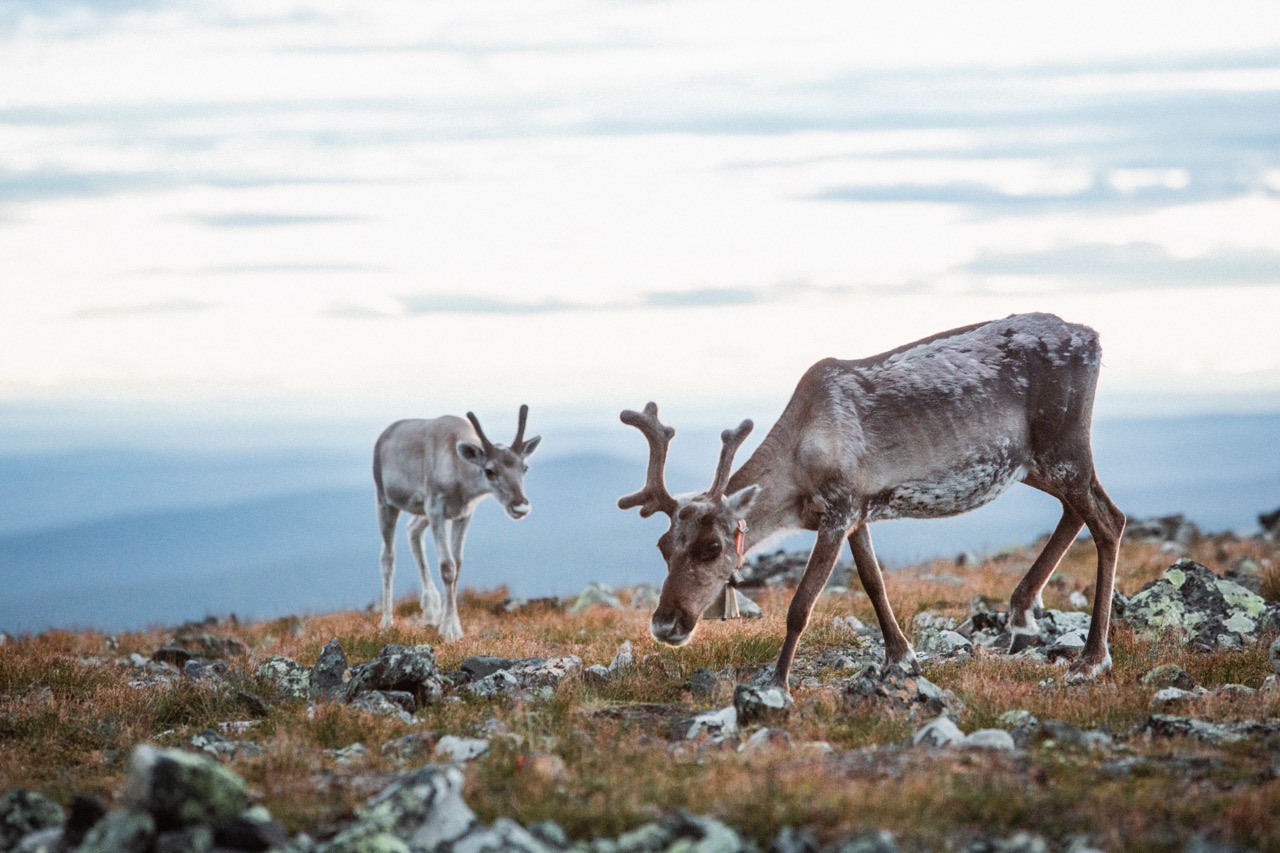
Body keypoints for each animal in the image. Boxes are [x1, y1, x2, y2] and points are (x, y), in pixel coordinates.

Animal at [374, 405, 541, 641]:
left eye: (524, 467)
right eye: (489, 471)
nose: (520, 506)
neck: (460, 480)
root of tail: (384, 435)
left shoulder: (463, 514)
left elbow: (458, 565)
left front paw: (451, 625)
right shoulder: (435, 510)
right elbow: (447, 566)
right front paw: (449, 632)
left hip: (420, 510)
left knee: (413, 530)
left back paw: (431, 609)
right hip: (385, 500)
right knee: (387, 557)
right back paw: (387, 623)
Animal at [618, 313, 1125, 694]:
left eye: (712, 548)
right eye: (663, 547)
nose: (665, 624)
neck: (799, 458)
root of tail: (1094, 338)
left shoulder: (838, 509)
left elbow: (801, 605)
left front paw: (778, 683)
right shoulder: (858, 512)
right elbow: (873, 582)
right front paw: (901, 658)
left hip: (1064, 447)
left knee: (1108, 520)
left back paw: (1091, 658)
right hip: (1033, 463)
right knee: (1078, 511)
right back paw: (1021, 608)